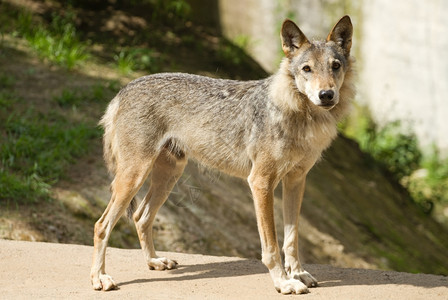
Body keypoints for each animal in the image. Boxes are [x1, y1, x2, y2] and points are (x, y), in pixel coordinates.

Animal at [91, 15, 356, 294]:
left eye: (335, 66)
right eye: (307, 69)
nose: (326, 95)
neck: (300, 115)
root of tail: (124, 89)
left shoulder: (296, 181)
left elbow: (291, 239)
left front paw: (298, 274)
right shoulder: (261, 183)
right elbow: (271, 246)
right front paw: (283, 282)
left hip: (168, 176)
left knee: (140, 217)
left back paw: (154, 262)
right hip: (134, 177)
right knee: (102, 225)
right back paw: (100, 278)